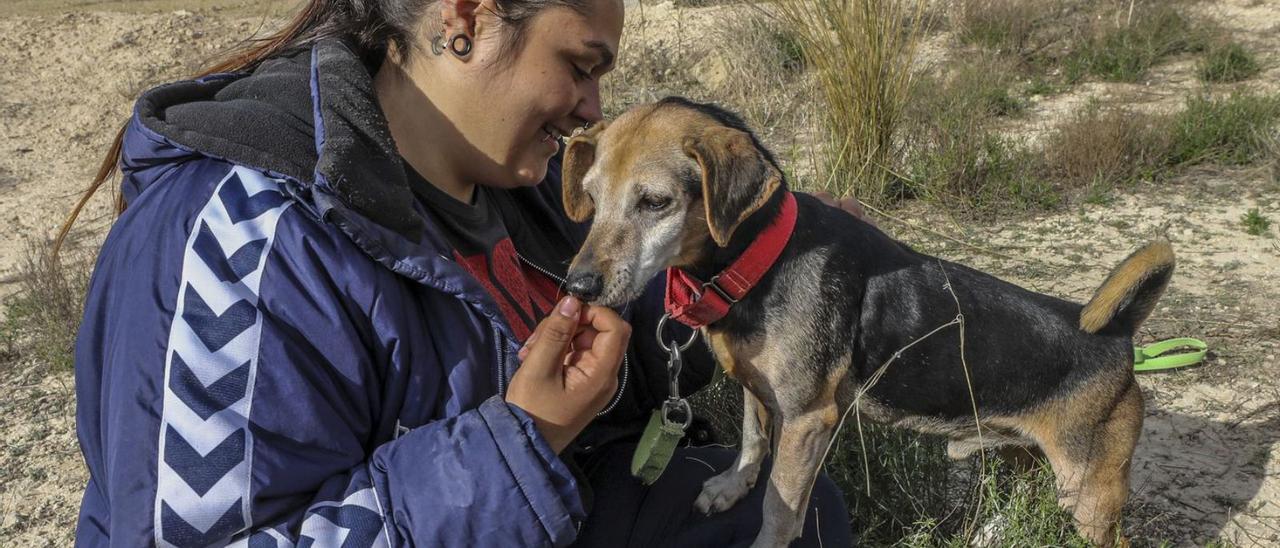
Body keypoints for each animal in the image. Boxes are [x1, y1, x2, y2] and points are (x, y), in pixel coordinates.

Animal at [560, 98, 1172, 548]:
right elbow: (752, 443)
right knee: (1019, 494)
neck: (760, 261)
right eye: (589, 197)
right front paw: (732, 487)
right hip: (1021, 451)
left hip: (1090, 491)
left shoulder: (808, 420)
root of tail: (1117, 337)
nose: (578, 287)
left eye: (655, 202)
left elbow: (780, 509)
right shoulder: (758, 391)